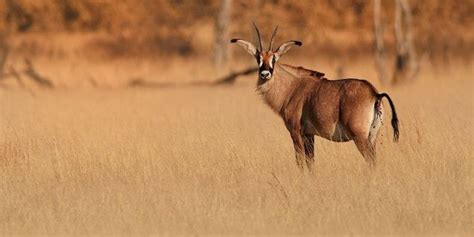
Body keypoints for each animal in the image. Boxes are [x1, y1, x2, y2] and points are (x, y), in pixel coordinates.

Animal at [231, 24, 398, 169]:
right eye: (258, 58)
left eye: (274, 58)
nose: (265, 74)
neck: (292, 87)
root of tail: (374, 93)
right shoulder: (309, 135)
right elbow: (311, 162)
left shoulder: (295, 132)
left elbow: (300, 162)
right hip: (372, 136)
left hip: (359, 136)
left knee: (370, 160)